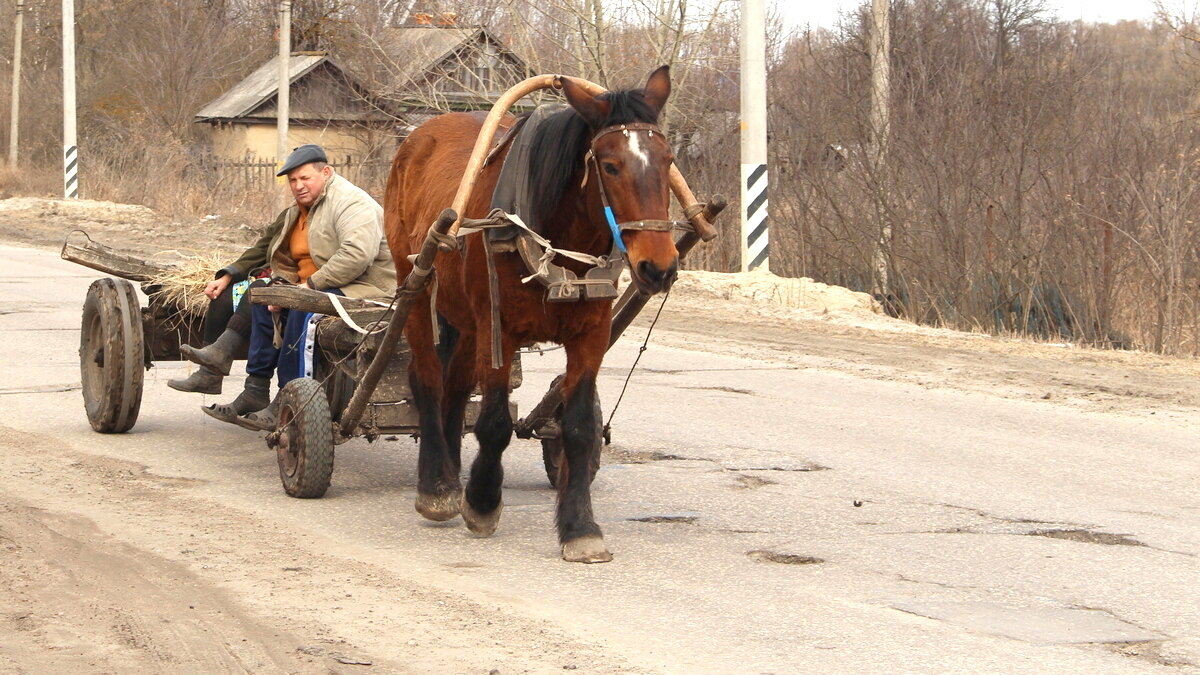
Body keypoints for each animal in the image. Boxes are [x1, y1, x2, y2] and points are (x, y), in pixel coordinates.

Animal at [386, 65, 681, 559]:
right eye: (610, 165)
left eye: (668, 160)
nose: (658, 267)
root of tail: (419, 135)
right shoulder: (498, 328)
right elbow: (494, 423)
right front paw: (482, 501)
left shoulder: (591, 335)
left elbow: (579, 428)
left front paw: (580, 527)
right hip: (417, 283)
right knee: (427, 379)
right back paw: (438, 485)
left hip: (466, 319)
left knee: (455, 388)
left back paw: (451, 470)